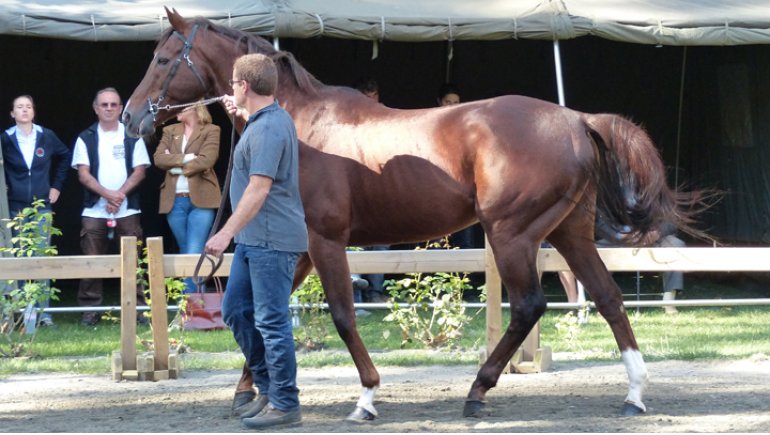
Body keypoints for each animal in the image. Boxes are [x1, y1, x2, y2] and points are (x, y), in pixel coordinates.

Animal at [123, 8, 703, 421]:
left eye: (162, 59)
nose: (129, 117)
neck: (302, 123)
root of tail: (577, 119)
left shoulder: (327, 240)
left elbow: (340, 314)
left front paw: (366, 398)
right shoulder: (302, 245)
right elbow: (265, 312)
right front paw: (251, 392)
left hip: (511, 234)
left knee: (529, 306)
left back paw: (477, 391)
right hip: (567, 233)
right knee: (607, 298)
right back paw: (633, 393)